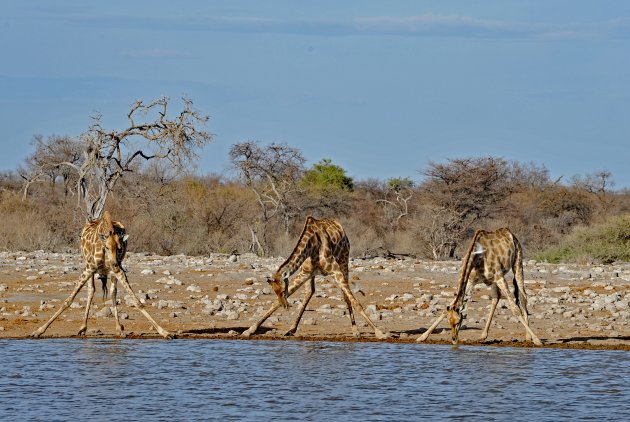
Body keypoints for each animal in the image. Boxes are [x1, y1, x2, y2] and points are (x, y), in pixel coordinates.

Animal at [30, 211, 172, 340]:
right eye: (107, 247)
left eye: (120, 248)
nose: (115, 264)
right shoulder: (90, 268)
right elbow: (68, 301)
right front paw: (38, 331)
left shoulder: (118, 271)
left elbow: (137, 302)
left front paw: (165, 332)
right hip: (88, 266)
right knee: (91, 290)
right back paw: (83, 328)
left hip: (111, 272)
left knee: (112, 292)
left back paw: (118, 329)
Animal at [242, 218, 390, 340]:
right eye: (275, 291)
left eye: (282, 290)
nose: (285, 306)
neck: (312, 246)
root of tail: (339, 226)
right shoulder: (305, 273)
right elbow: (275, 303)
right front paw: (249, 330)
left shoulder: (335, 270)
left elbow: (356, 302)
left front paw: (380, 333)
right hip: (313, 274)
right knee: (310, 292)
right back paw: (291, 329)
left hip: (343, 262)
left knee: (346, 296)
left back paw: (356, 331)